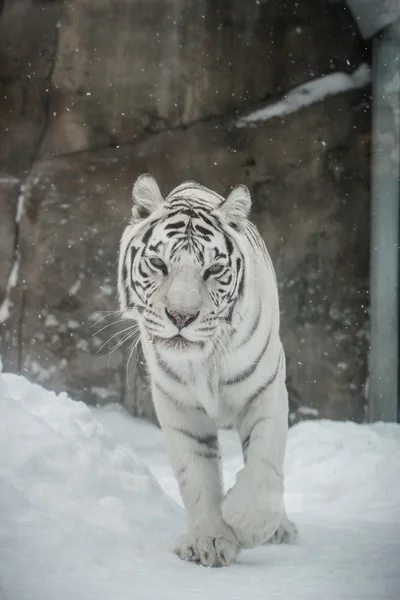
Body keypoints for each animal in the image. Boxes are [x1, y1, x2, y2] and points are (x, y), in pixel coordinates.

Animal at [117, 173, 296, 568]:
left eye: (213, 269)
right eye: (158, 264)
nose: (181, 316)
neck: (203, 363)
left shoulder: (267, 388)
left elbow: (264, 464)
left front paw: (246, 523)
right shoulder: (178, 406)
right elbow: (197, 475)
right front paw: (209, 541)